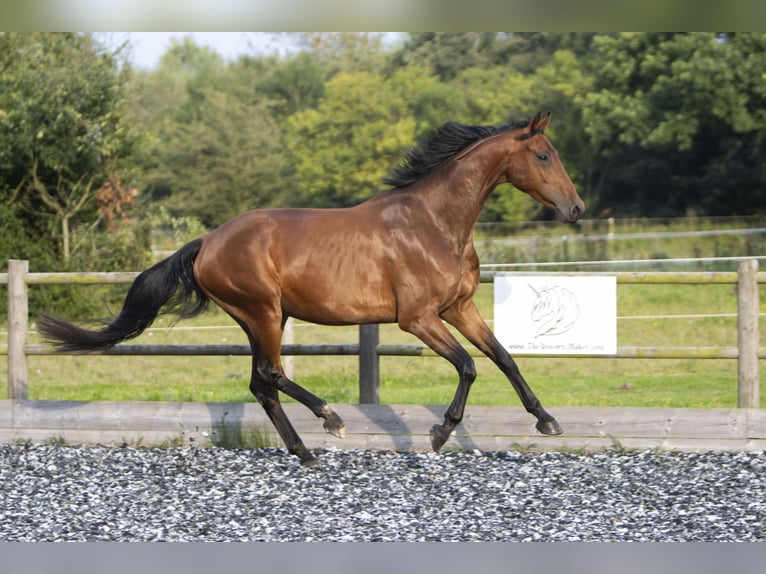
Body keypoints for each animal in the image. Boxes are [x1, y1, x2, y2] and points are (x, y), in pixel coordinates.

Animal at [37, 112, 588, 468]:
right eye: (543, 155)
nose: (576, 209)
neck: (434, 223)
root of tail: (207, 241)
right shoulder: (418, 318)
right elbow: (469, 365)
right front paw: (439, 432)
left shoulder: (460, 308)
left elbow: (504, 357)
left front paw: (547, 422)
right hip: (261, 311)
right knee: (272, 374)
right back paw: (330, 420)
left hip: (266, 317)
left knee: (261, 383)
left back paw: (303, 452)